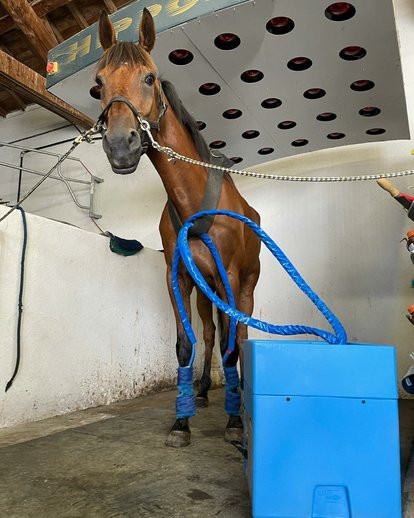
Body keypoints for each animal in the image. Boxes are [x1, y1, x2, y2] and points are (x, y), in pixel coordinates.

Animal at [96, 8, 261, 448]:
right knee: (210, 334)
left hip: (244, 288)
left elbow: (232, 344)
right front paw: (181, 421)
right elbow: (186, 344)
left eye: (149, 77)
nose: (120, 146)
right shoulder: (179, 279)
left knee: (238, 334)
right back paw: (203, 390)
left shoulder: (229, 276)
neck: (193, 199)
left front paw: (234, 421)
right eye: (98, 83)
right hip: (206, 292)